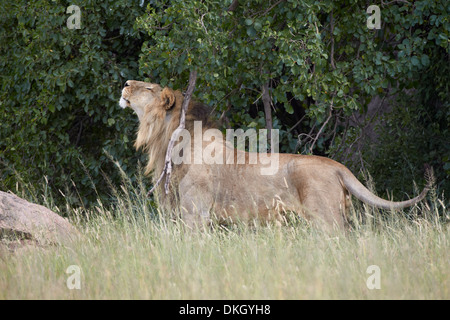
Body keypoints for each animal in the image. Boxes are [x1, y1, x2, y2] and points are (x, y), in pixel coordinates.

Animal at [118, 80, 428, 230]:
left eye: (148, 88)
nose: (126, 83)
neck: (169, 141)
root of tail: (338, 166)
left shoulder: (195, 213)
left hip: (327, 219)